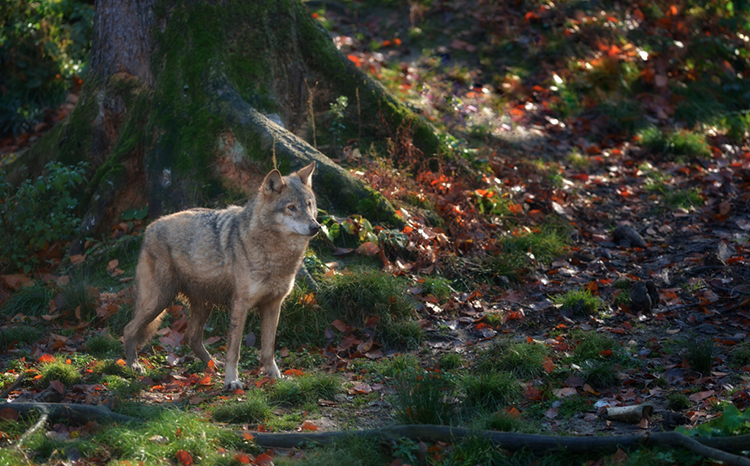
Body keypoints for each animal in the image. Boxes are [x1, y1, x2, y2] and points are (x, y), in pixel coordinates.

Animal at [123, 162, 320, 390]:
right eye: (291, 208)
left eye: (309, 205)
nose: (316, 227)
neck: (275, 253)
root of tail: (150, 227)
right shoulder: (240, 305)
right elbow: (234, 350)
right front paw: (232, 381)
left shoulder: (273, 305)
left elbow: (268, 350)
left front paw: (276, 377)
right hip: (160, 300)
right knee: (129, 329)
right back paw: (133, 366)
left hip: (202, 305)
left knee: (191, 337)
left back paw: (212, 365)